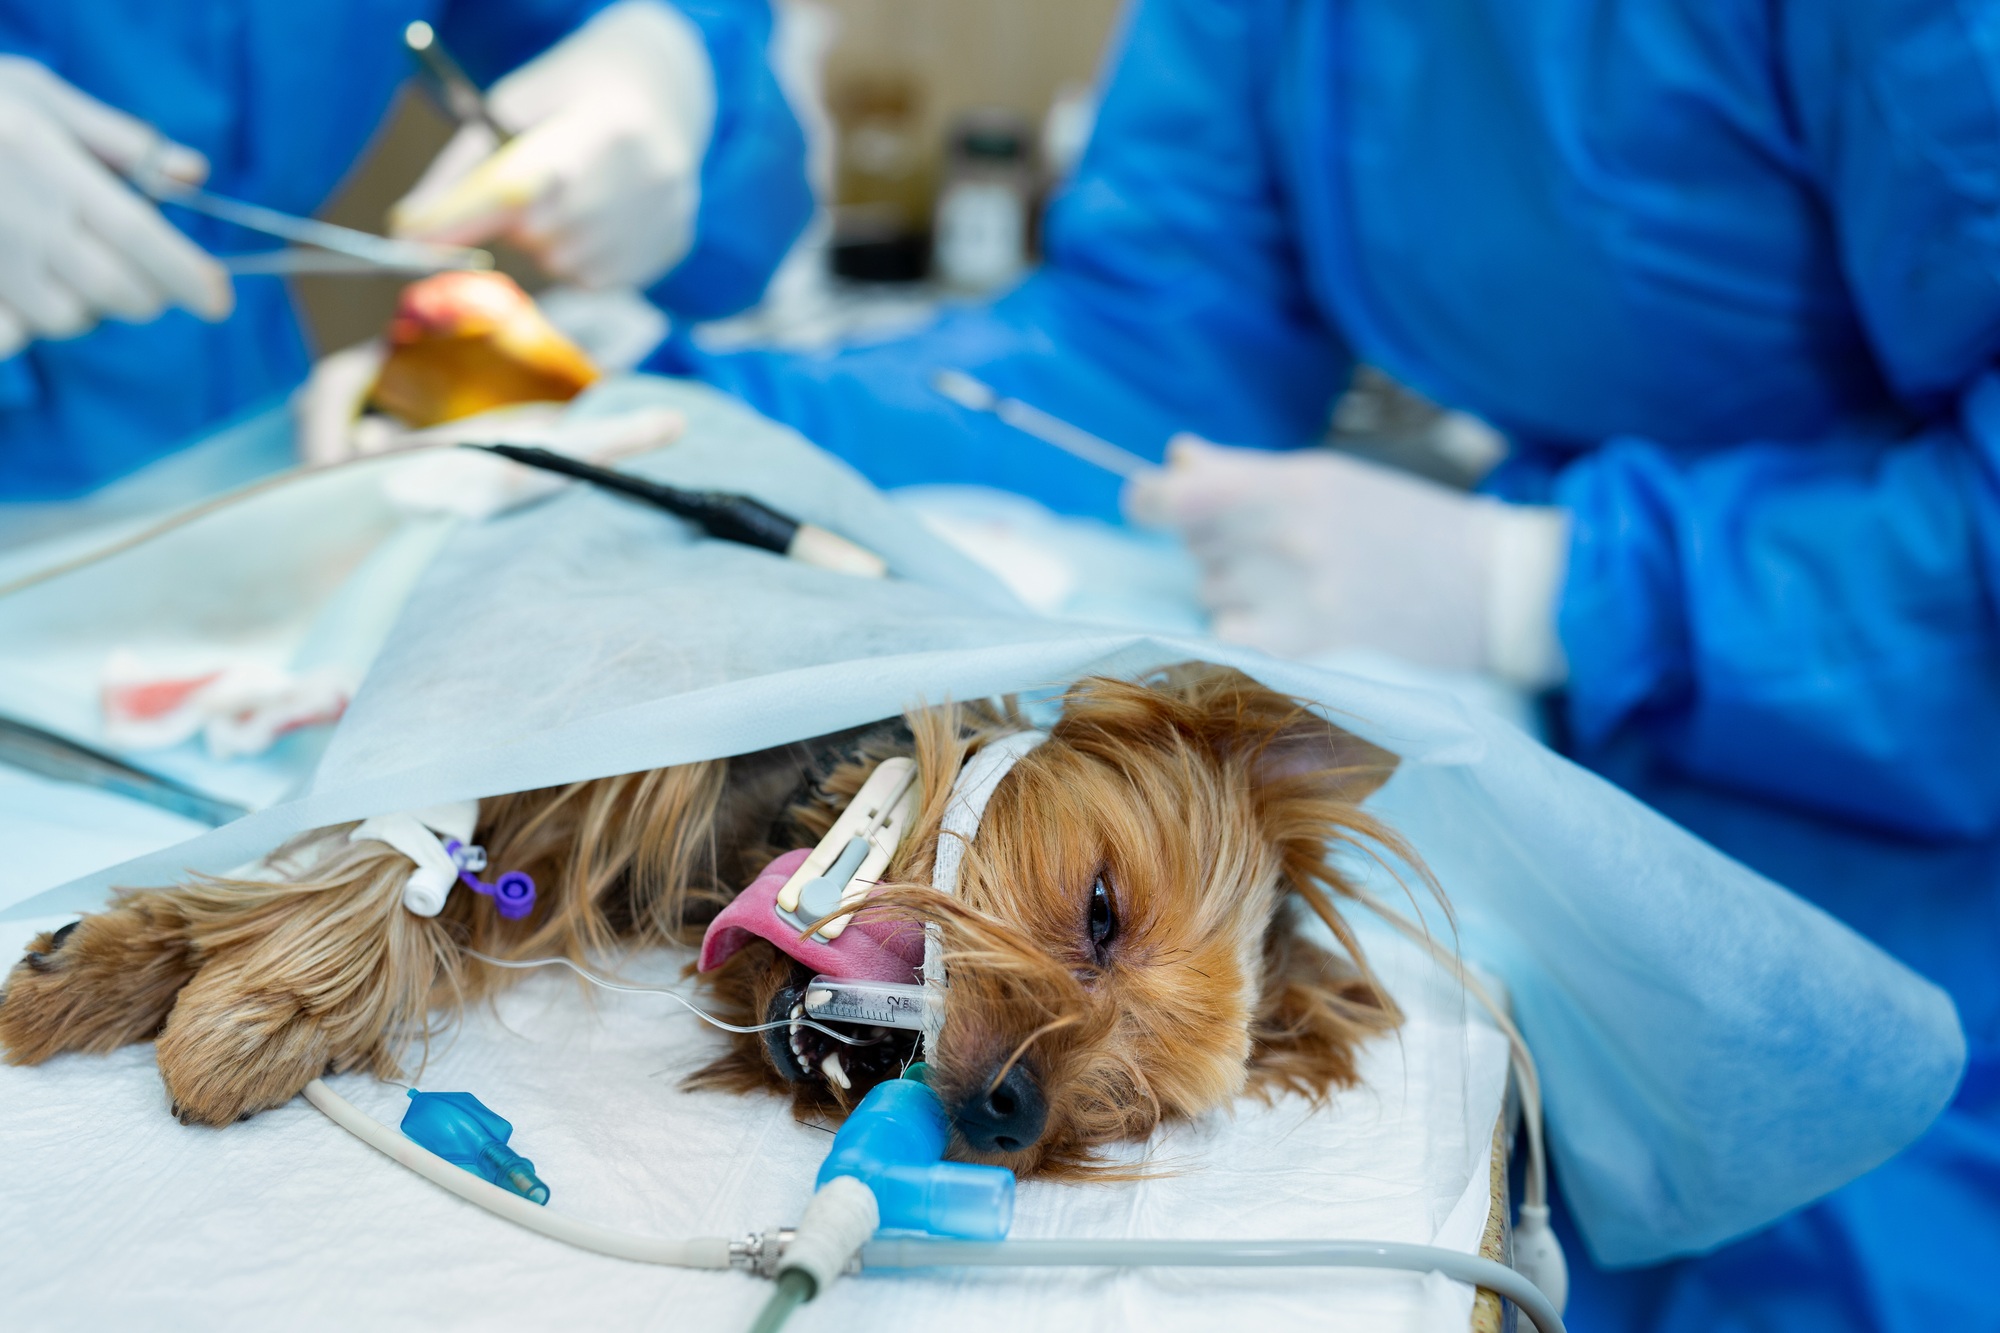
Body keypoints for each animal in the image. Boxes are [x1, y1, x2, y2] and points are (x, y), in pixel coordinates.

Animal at [3, 664, 1408, 1176]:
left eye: (1126, 1107)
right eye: (1102, 910)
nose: (1013, 1117)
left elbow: (420, 895)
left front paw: (189, 986)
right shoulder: (583, 752)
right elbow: (381, 866)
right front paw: (237, 1007)